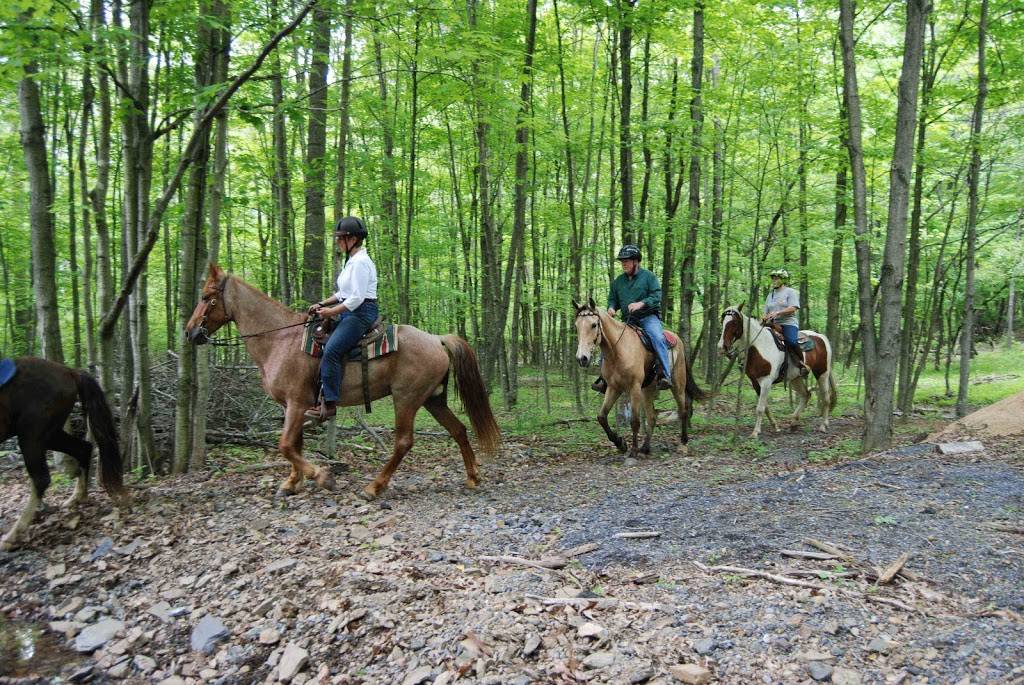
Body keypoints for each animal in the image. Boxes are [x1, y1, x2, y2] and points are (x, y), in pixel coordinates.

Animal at [0, 358, 128, 548]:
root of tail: (69, 371)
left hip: (32, 434)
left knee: (41, 479)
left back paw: (12, 535)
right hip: (50, 435)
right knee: (83, 449)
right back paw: (77, 497)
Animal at [188, 264, 503, 497]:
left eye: (205, 297)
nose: (191, 332)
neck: (280, 339)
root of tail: (437, 339)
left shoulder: (296, 403)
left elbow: (286, 445)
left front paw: (322, 477)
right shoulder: (294, 406)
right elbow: (295, 443)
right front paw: (291, 483)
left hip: (407, 399)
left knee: (403, 442)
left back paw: (374, 487)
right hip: (432, 399)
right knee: (459, 430)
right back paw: (472, 477)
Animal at [569, 296, 704, 454]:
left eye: (594, 325)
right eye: (576, 326)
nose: (582, 358)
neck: (618, 351)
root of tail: (678, 340)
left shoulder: (634, 387)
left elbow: (634, 421)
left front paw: (633, 449)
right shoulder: (613, 388)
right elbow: (602, 417)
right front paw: (620, 444)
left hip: (678, 384)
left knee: (683, 410)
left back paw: (683, 443)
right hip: (648, 389)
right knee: (652, 416)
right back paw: (645, 447)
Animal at [716, 305, 835, 438]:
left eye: (734, 323)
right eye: (722, 322)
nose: (722, 347)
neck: (759, 347)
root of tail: (821, 337)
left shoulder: (766, 381)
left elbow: (760, 408)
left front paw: (755, 432)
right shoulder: (755, 382)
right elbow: (765, 407)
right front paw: (775, 426)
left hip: (822, 373)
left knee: (826, 398)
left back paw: (823, 425)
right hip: (795, 378)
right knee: (806, 395)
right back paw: (794, 423)